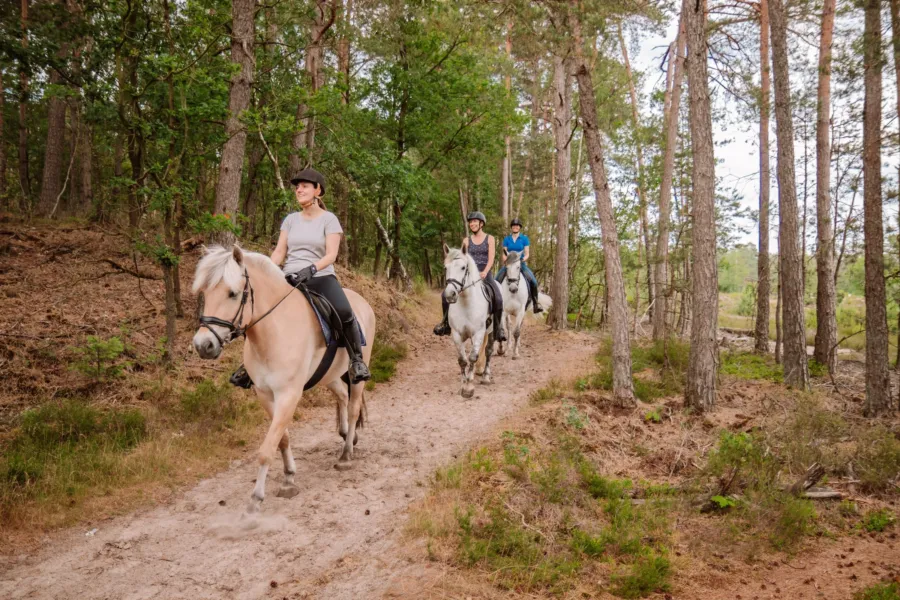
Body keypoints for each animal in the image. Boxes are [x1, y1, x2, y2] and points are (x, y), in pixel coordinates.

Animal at [192, 246, 374, 512]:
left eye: (232, 294)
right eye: (205, 293)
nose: (203, 345)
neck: (274, 331)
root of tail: (361, 302)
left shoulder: (288, 394)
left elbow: (267, 447)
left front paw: (256, 497)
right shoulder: (265, 395)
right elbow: (282, 438)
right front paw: (289, 477)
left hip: (358, 372)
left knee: (353, 407)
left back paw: (346, 454)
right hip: (329, 374)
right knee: (341, 394)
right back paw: (344, 435)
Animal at [442, 241, 496, 396]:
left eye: (463, 267)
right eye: (445, 267)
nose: (450, 294)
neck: (466, 303)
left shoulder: (478, 332)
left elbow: (472, 357)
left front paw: (469, 387)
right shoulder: (456, 334)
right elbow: (462, 360)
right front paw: (463, 383)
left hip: (492, 330)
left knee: (489, 350)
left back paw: (485, 377)